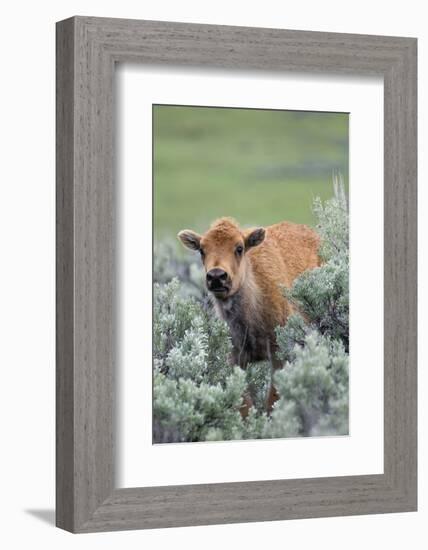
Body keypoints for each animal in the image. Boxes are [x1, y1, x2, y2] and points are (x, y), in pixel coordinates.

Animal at [176, 218, 320, 412]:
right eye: (202, 250)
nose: (216, 276)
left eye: (239, 248)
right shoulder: (235, 358)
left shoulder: (279, 353)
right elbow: (244, 403)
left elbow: (273, 399)